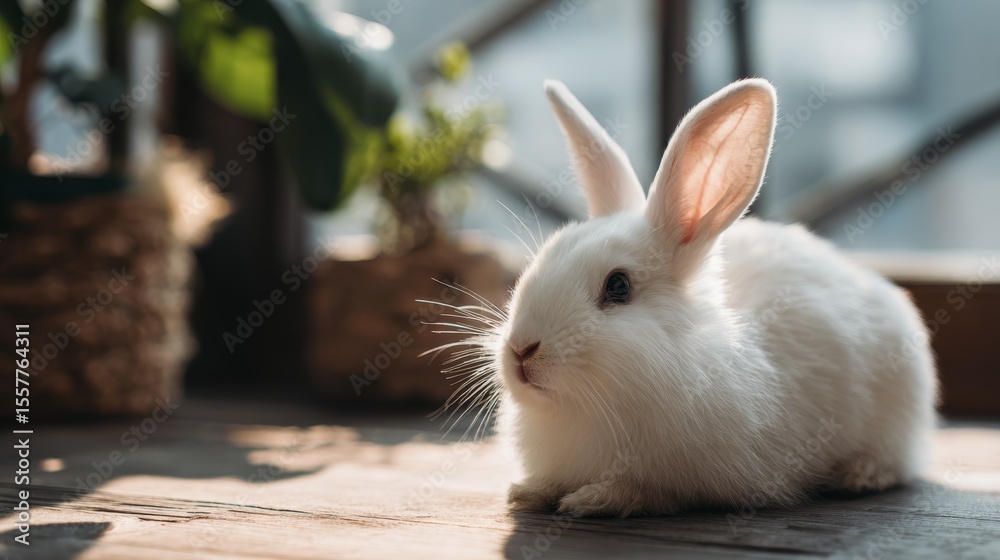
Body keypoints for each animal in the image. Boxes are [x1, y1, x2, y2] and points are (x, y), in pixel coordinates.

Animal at [472, 78, 938, 518]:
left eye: (618, 286)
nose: (521, 350)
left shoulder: (696, 479)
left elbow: (654, 492)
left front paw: (594, 500)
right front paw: (528, 492)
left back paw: (860, 475)